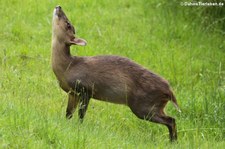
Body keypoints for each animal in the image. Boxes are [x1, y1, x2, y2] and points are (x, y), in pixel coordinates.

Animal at [51, 5, 181, 141]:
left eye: (68, 24)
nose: (58, 6)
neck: (67, 68)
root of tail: (169, 91)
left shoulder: (86, 89)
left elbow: (81, 114)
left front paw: (79, 128)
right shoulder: (72, 93)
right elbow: (68, 113)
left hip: (144, 106)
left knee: (171, 120)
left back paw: (173, 141)